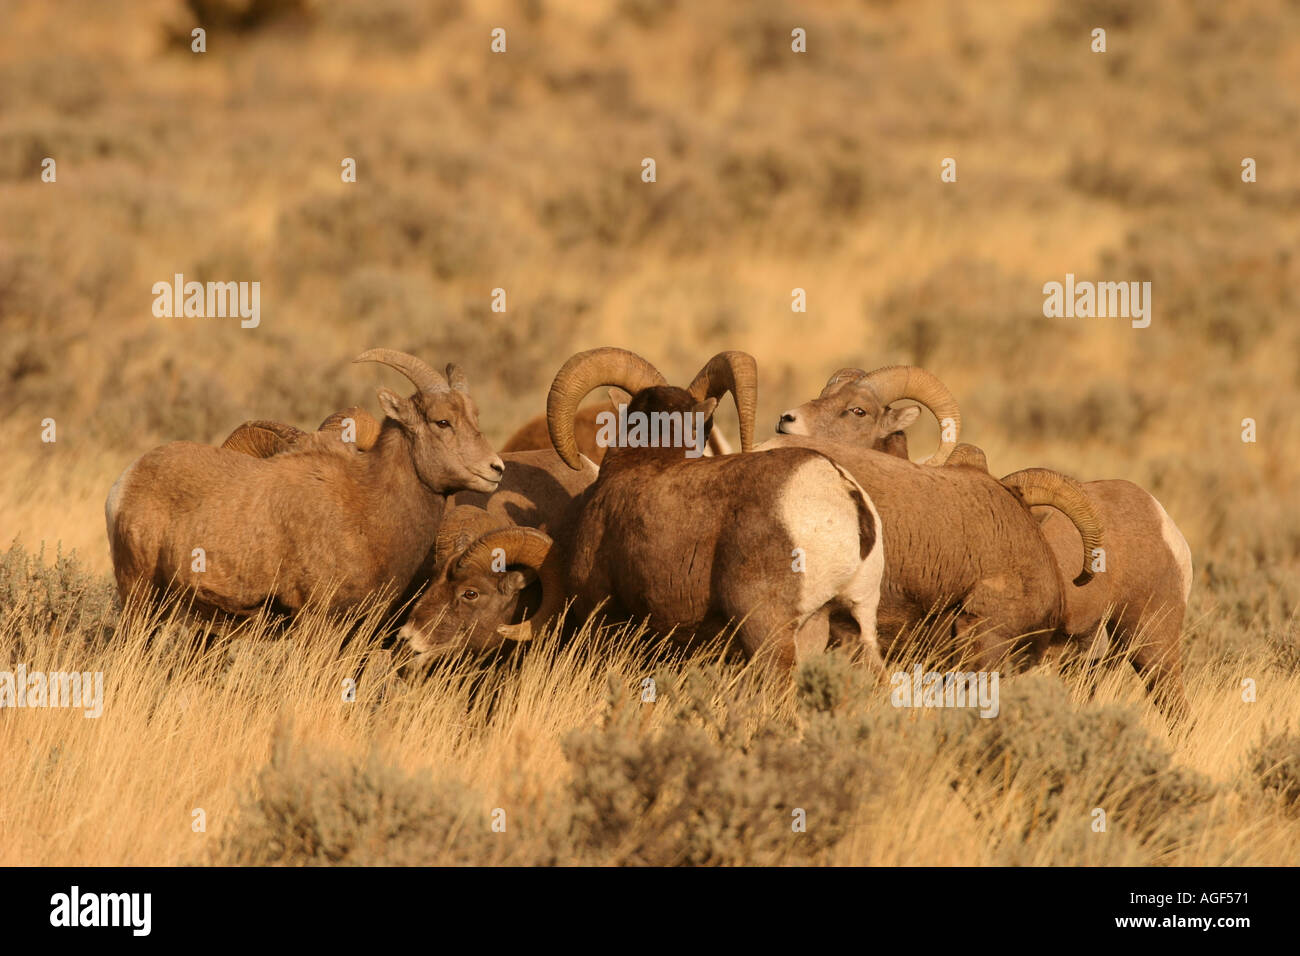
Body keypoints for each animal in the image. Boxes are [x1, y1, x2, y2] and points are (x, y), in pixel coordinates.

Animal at [106, 349, 505, 618]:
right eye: (442, 422)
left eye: (475, 417)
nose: (495, 468)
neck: (367, 508)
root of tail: (125, 482)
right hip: (139, 595)